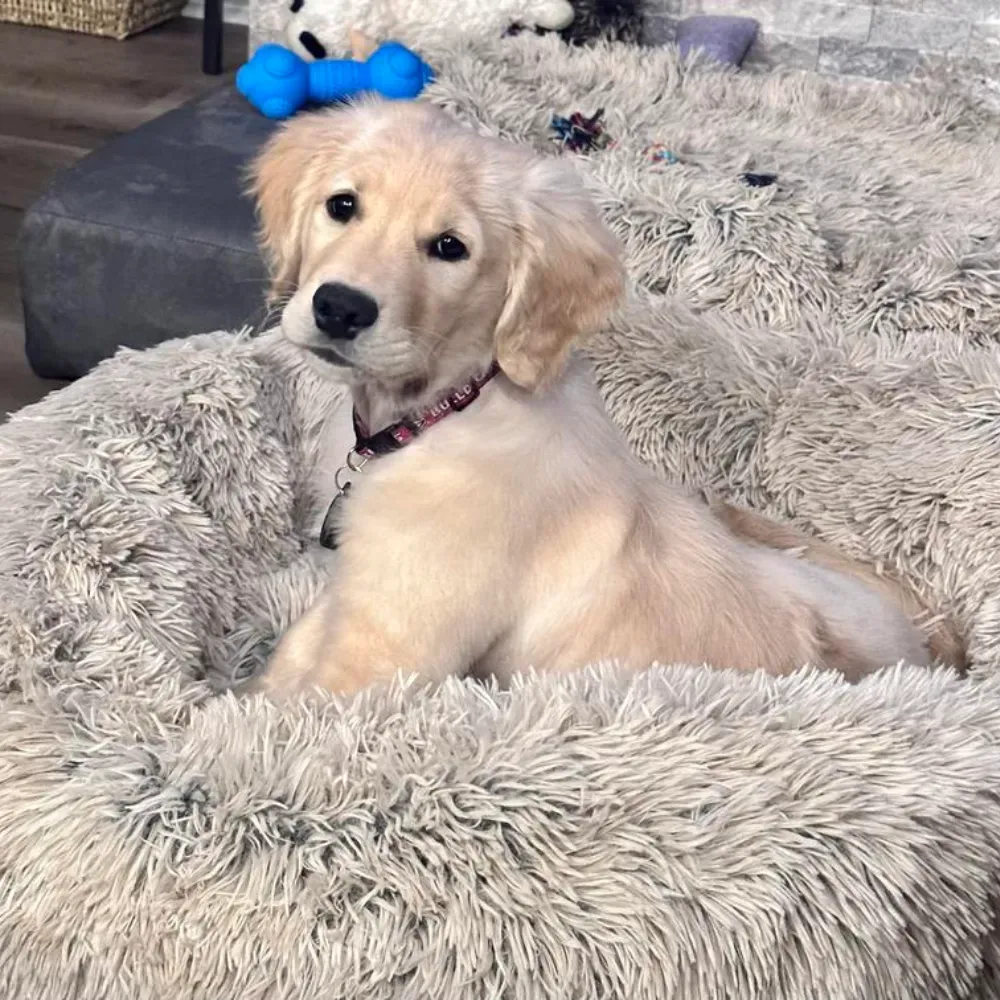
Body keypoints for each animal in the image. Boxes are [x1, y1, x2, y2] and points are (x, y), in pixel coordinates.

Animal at [246, 99, 956, 696]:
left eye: (450, 248)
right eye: (342, 205)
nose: (340, 308)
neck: (449, 409)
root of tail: (926, 649)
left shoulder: (385, 652)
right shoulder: (350, 600)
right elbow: (288, 657)